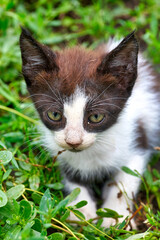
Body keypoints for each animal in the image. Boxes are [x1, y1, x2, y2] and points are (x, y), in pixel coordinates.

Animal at [19, 28, 159, 227]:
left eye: (96, 117)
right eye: (54, 115)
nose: (73, 141)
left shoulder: (137, 139)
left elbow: (125, 180)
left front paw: (115, 218)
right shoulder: (62, 153)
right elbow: (73, 181)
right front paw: (82, 215)